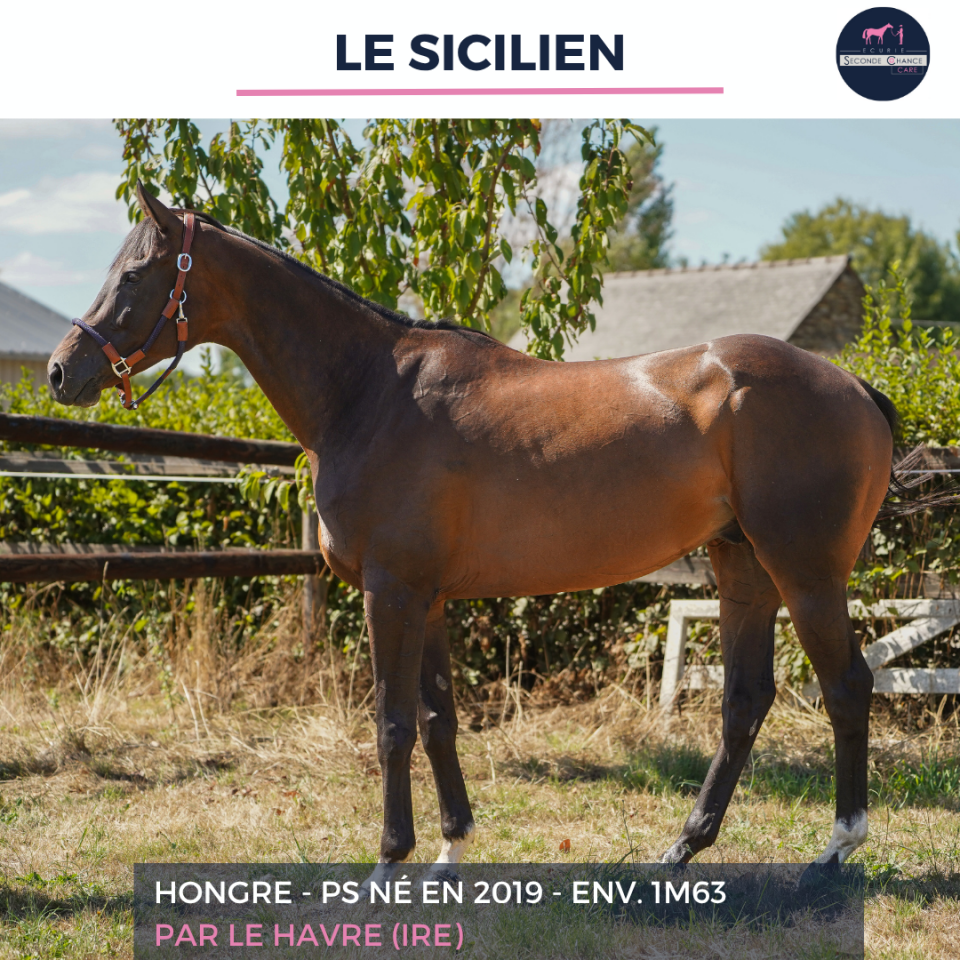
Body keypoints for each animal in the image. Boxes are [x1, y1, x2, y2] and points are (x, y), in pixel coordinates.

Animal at [49, 183, 905, 876]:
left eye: (133, 275)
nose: (62, 371)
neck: (369, 393)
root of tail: (853, 385)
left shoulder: (390, 593)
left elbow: (392, 723)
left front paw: (388, 862)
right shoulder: (427, 598)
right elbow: (437, 720)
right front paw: (449, 852)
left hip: (806, 575)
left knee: (846, 688)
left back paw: (835, 852)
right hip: (743, 570)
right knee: (744, 701)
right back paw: (681, 850)